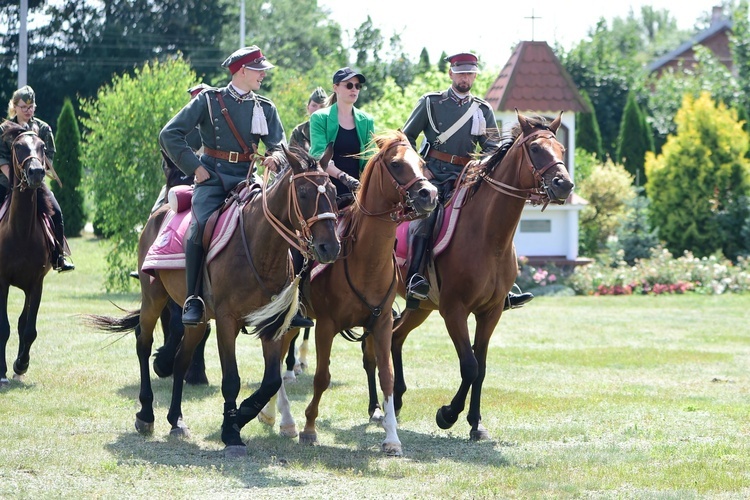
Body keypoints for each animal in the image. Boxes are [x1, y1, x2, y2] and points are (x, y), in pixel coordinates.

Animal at [86, 148, 340, 458]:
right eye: (303, 193)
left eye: (333, 190)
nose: (331, 247)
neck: (259, 245)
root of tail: (158, 212)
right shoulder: (227, 322)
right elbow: (231, 379)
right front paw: (231, 431)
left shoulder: (272, 323)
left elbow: (271, 380)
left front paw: (241, 415)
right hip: (153, 298)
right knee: (143, 343)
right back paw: (146, 414)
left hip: (197, 319)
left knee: (182, 359)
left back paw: (176, 420)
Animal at [258, 130, 438, 458]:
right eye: (396, 164)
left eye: (421, 163)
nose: (429, 194)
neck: (365, 259)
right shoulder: (326, 326)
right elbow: (322, 377)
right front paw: (309, 428)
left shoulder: (381, 325)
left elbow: (386, 375)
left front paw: (392, 437)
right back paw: (285, 419)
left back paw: (272, 413)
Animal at [364, 112, 576, 442]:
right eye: (536, 149)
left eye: (562, 150)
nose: (564, 184)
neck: (489, 237)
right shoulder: (454, 311)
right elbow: (470, 365)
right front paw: (447, 414)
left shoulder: (491, 312)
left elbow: (482, 366)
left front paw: (476, 422)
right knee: (374, 348)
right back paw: (376, 407)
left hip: (420, 308)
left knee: (395, 338)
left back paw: (396, 399)